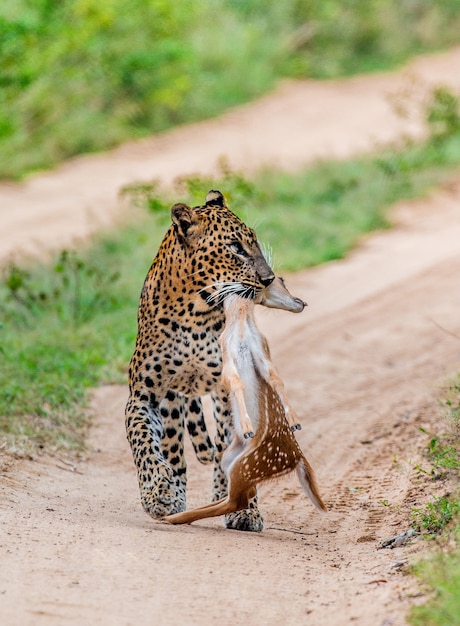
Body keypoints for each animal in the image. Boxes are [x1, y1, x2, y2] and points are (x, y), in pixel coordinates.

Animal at [127, 188, 282, 528]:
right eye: (235, 247)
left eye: (254, 242)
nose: (269, 279)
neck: (194, 312)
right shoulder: (145, 395)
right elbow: (143, 441)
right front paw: (158, 492)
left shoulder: (230, 389)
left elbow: (233, 450)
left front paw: (244, 509)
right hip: (172, 402)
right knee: (174, 448)